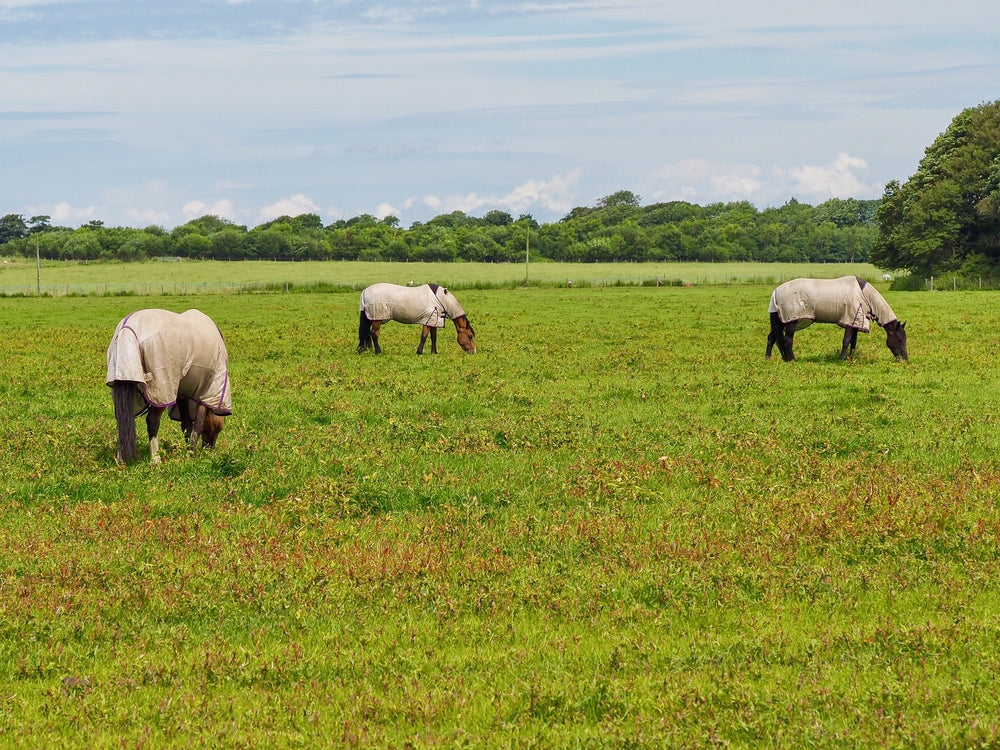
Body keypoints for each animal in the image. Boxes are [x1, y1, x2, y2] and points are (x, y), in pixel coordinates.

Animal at [106, 309, 233, 464]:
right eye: (218, 428)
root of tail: (126, 329)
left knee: (124, 418)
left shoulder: (183, 393)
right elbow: (198, 424)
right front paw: (192, 452)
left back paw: (121, 459)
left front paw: (187, 451)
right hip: (160, 389)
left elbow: (186, 424)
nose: (210, 449)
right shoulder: (206, 390)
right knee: (152, 421)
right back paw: (156, 459)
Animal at [766, 276, 908, 362]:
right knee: (787, 340)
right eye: (900, 340)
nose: (905, 359)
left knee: (772, 338)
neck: (865, 294)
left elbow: (853, 342)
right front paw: (841, 359)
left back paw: (769, 358)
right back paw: (792, 359)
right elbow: (846, 341)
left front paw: (851, 358)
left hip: (781, 321)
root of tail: (776, 291)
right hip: (791, 321)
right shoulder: (850, 320)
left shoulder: (855, 322)